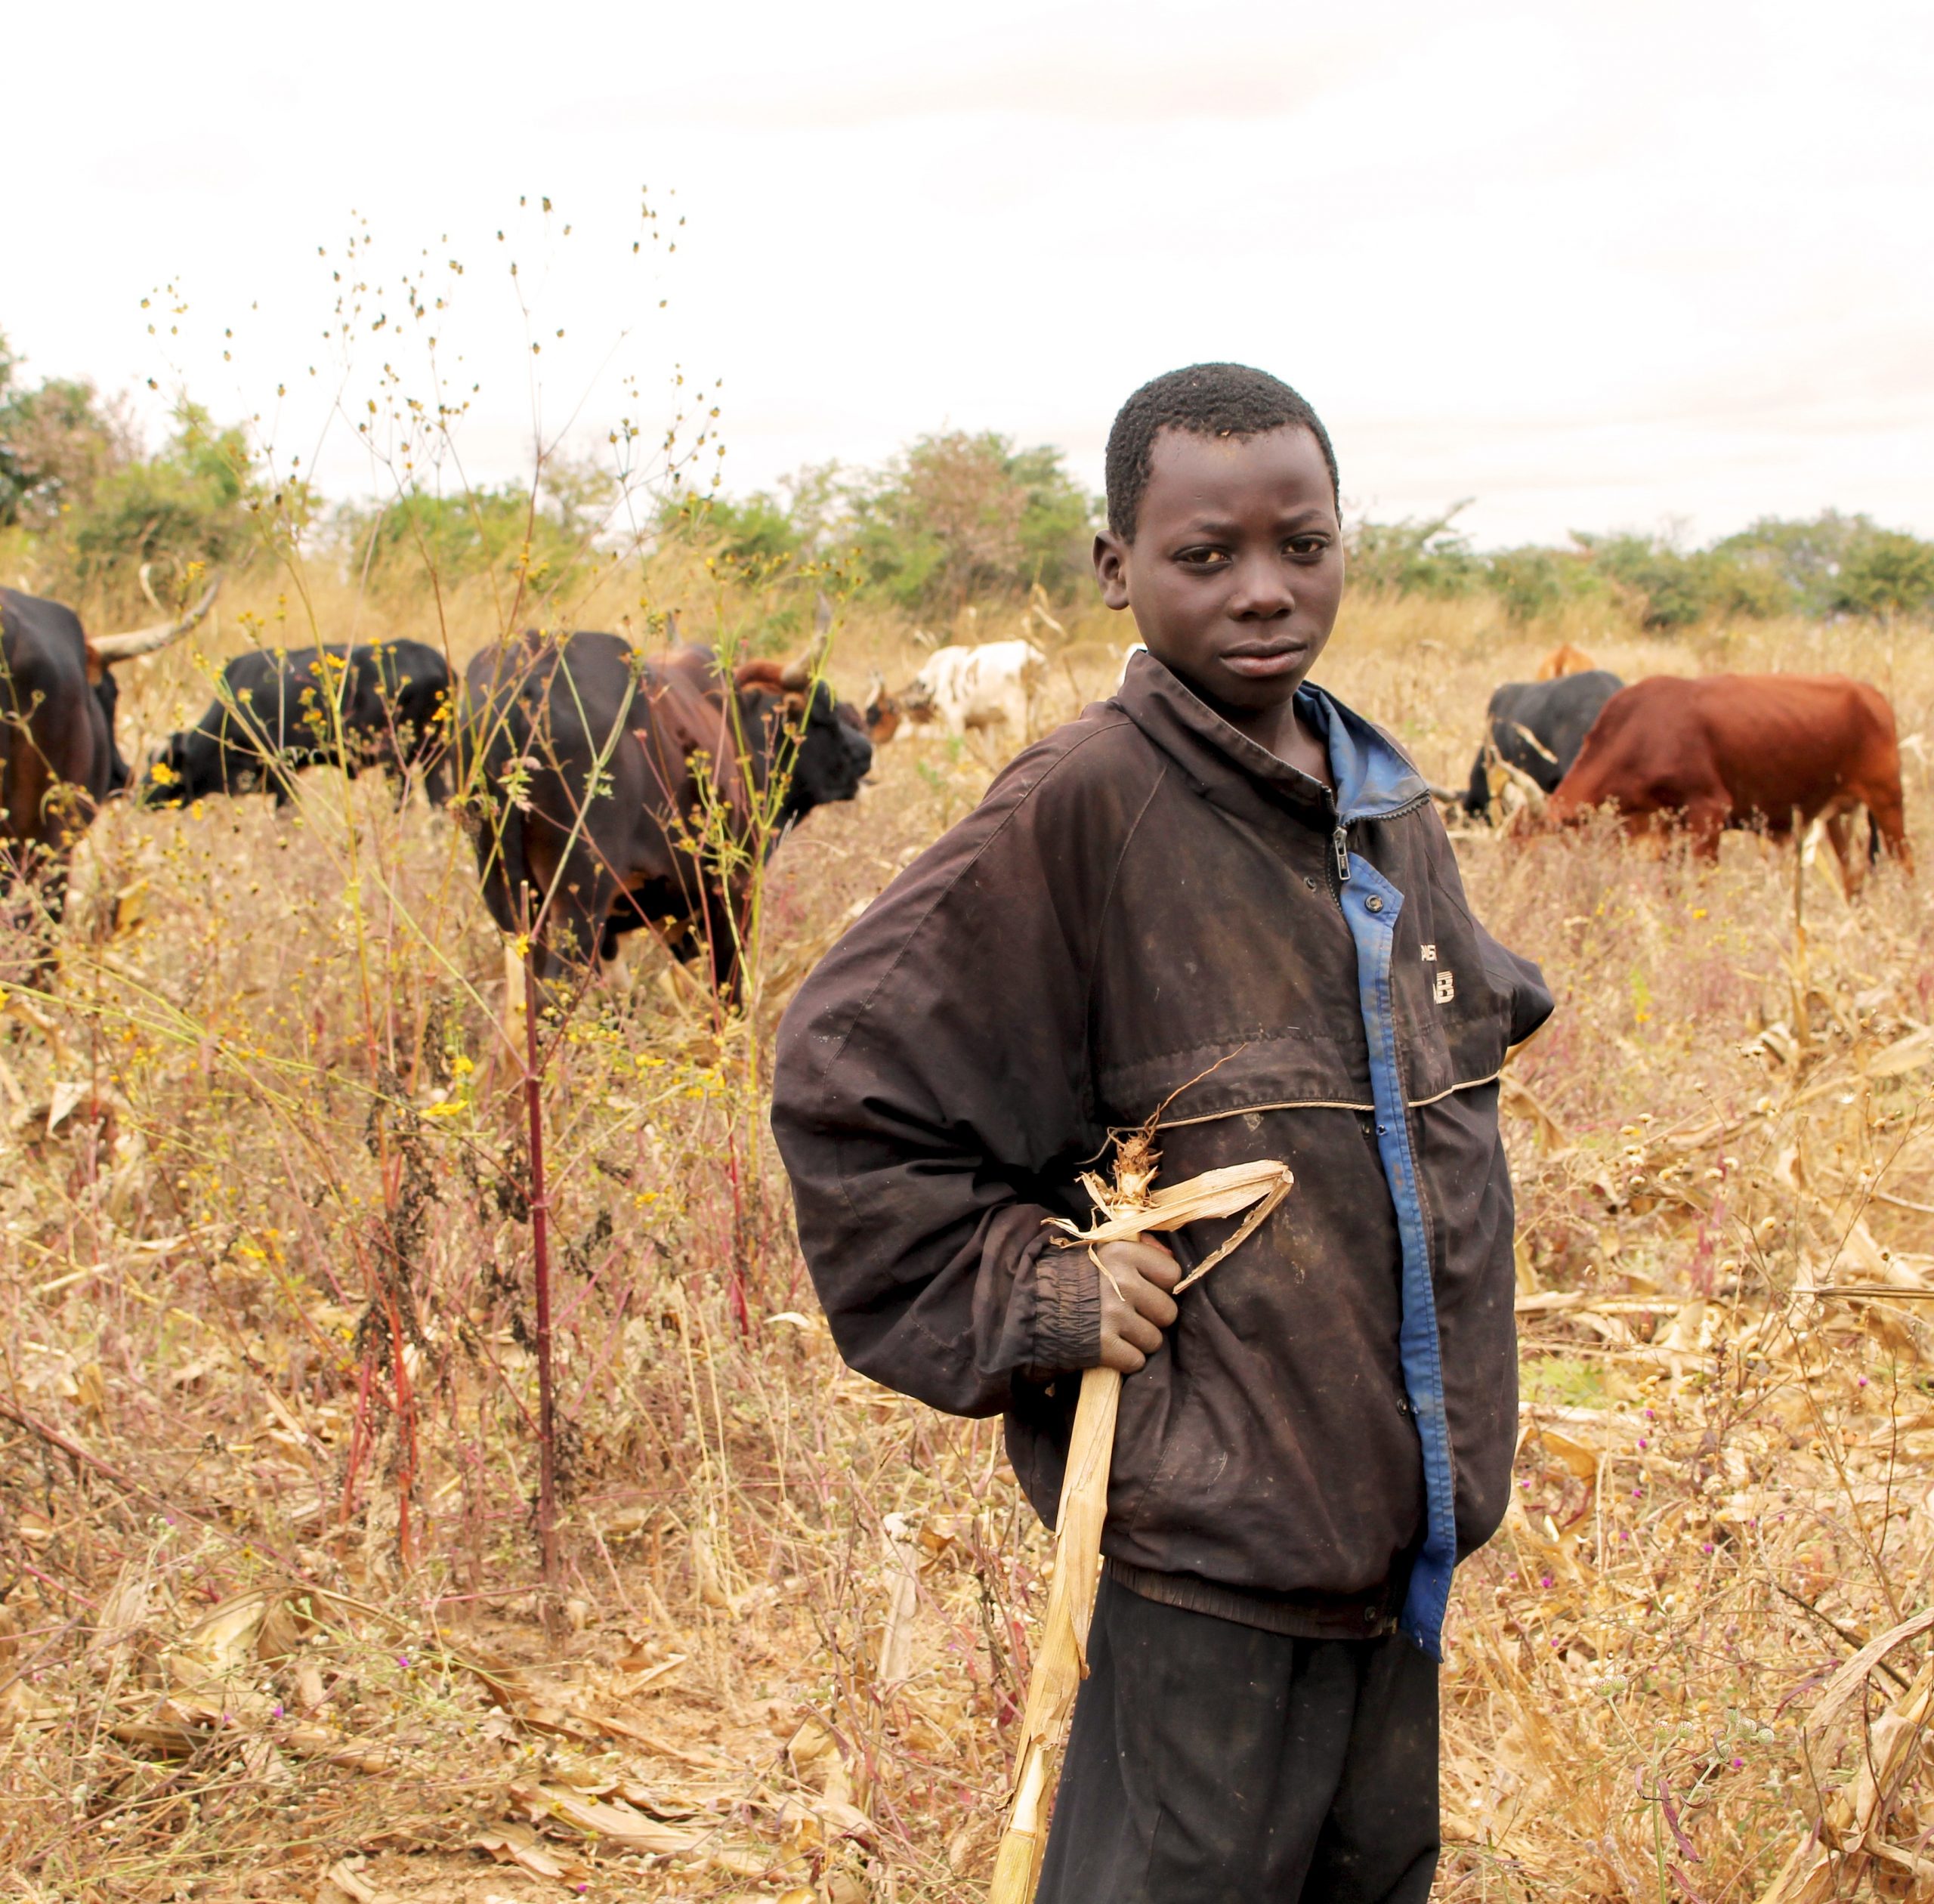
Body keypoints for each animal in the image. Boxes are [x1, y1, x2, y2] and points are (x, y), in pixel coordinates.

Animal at [143, 638, 453, 808]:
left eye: (163, 765)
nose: (139, 797)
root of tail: (440, 663)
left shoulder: (283, 772)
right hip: (436, 758)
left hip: (397, 762)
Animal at [456, 638, 866, 991]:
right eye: (822, 712)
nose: (864, 749)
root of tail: (519, 687)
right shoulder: (733, 891)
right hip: (577, 907)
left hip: (511, 905)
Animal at [1539, 673, 1903, 890]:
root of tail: (1869, 693)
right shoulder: (1670, 829)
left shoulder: (1708, 814)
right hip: (1839, 818)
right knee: (1853, 873)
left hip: (1887, 802)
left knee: (1905, 864)